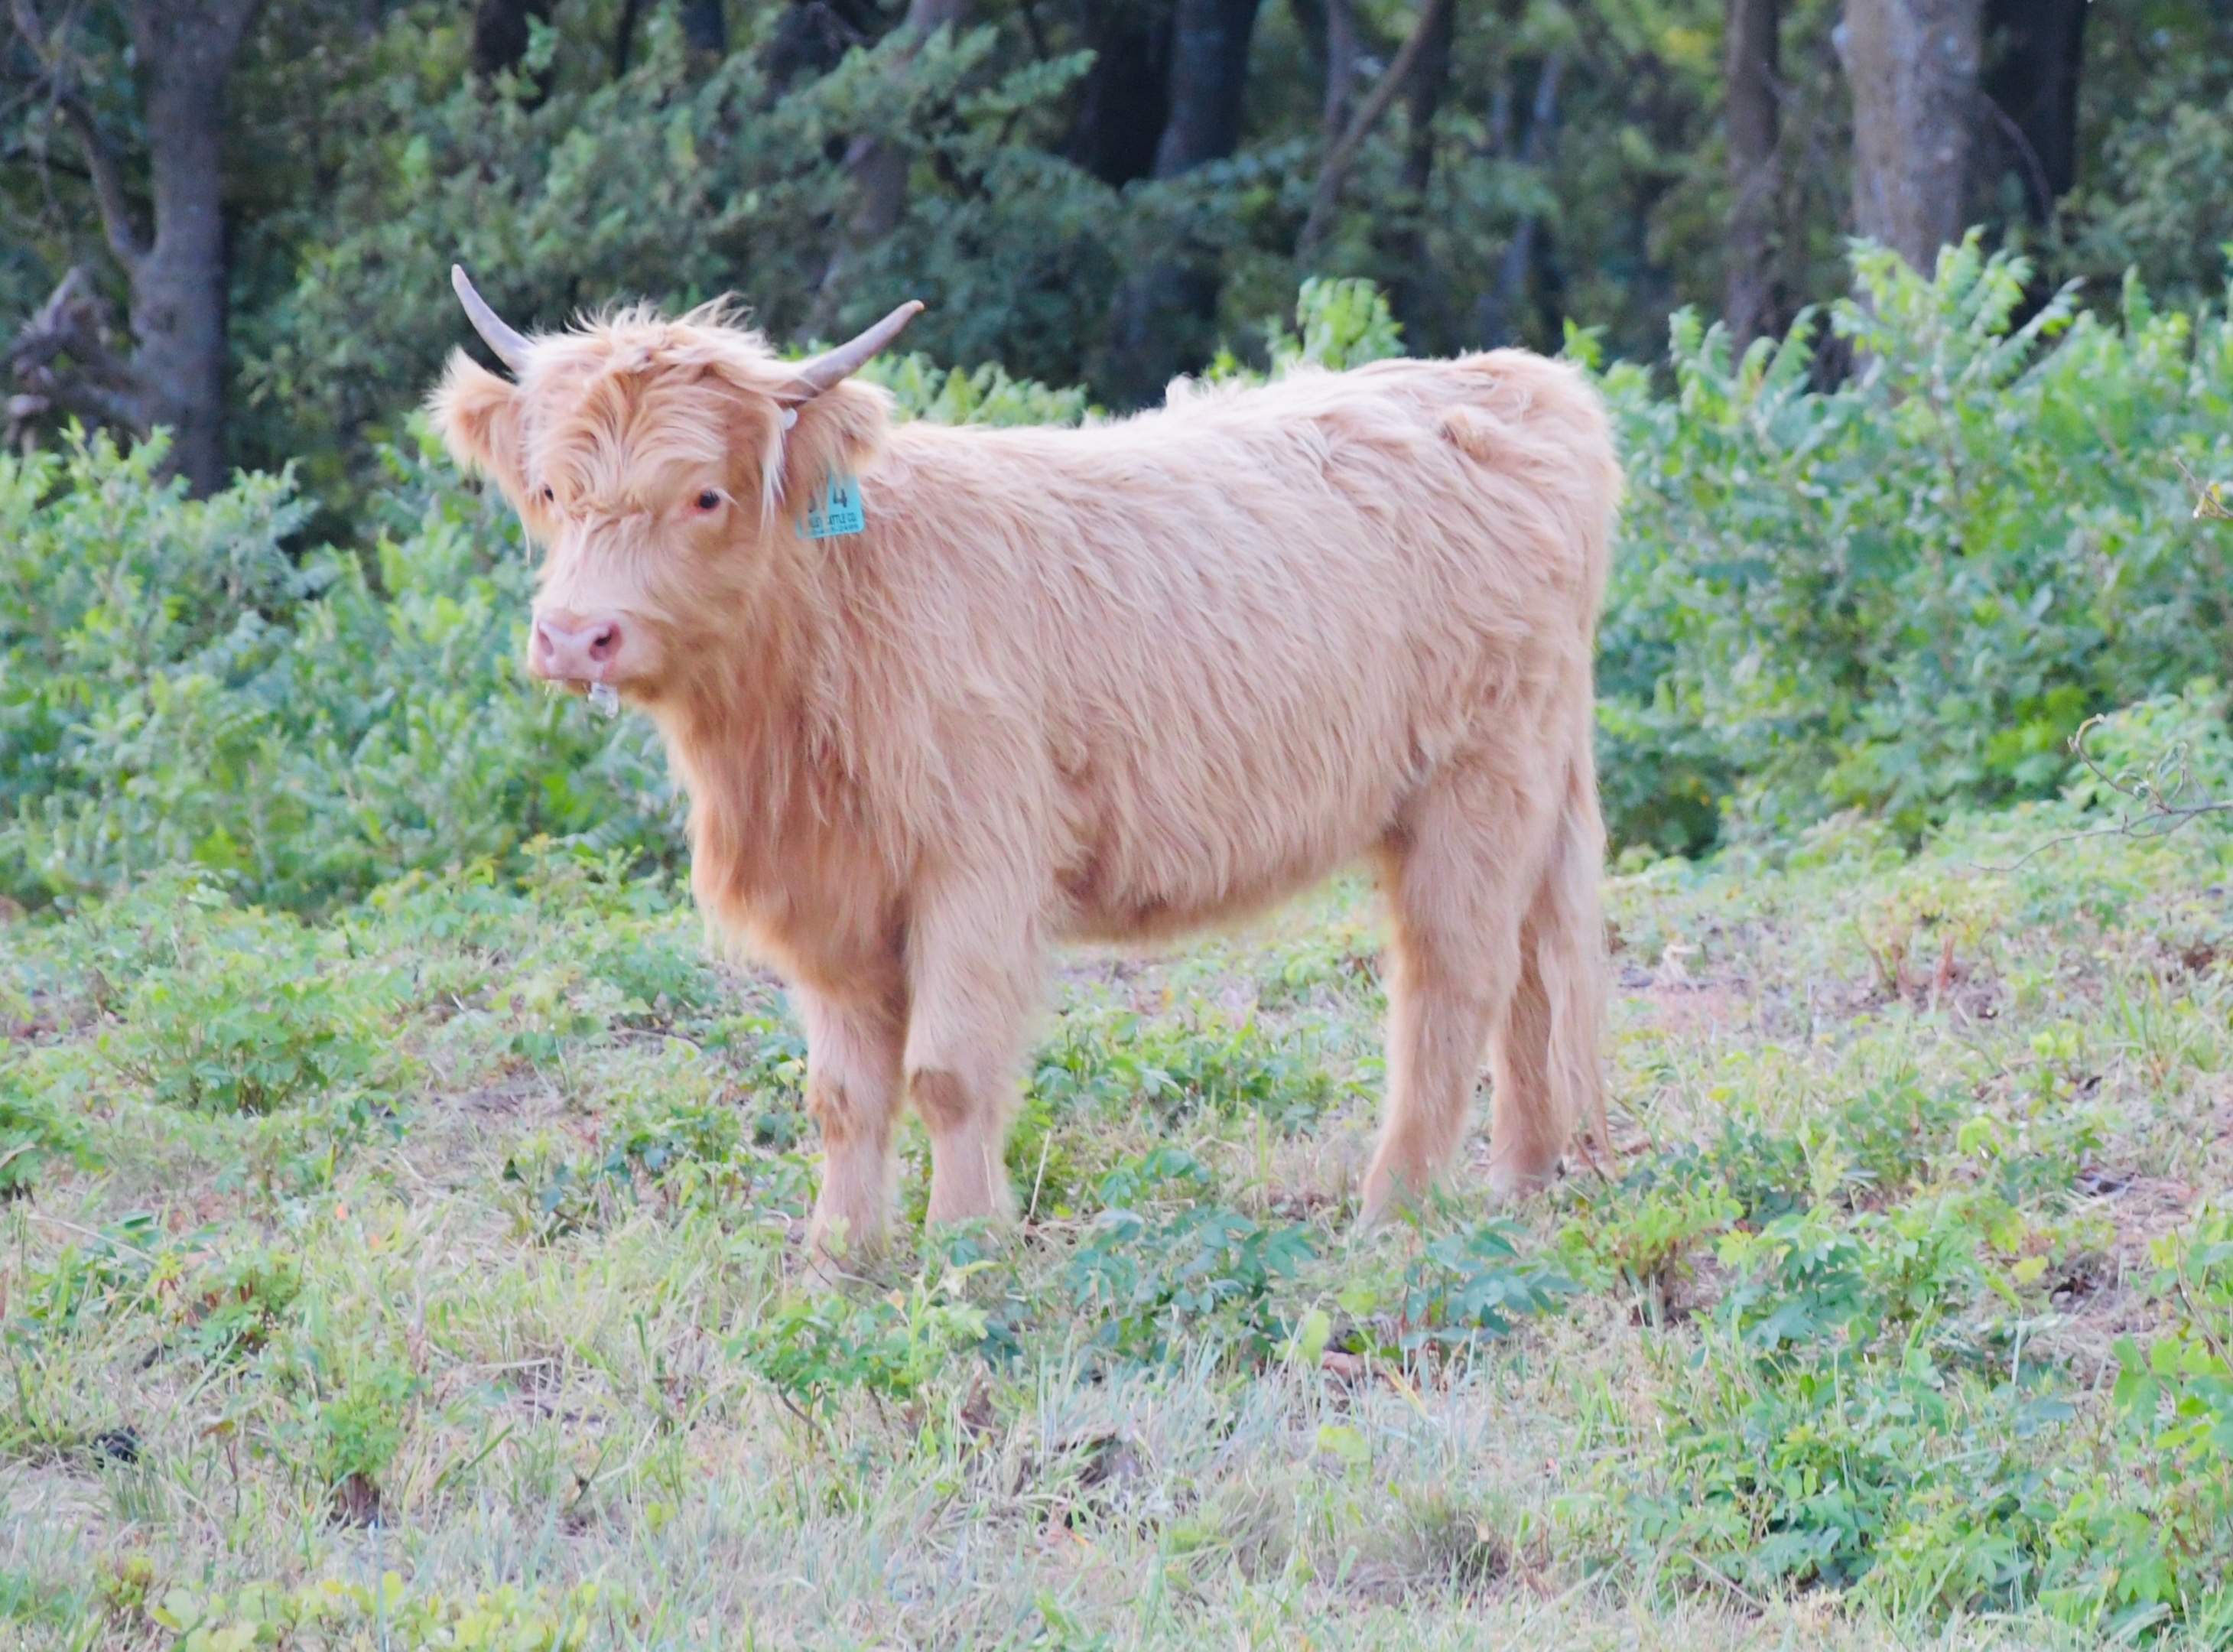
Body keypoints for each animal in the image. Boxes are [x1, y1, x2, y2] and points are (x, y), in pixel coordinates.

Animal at [429, 268, 1619, 1256]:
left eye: (706, 495)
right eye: (550, 491)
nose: (574, 636)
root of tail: (1515, 382)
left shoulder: (977, 868)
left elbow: (948, 1074)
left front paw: (965, 1247)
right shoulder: (833, 895)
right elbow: (843, 1095)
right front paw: (838, 1257)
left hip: (1479, 780)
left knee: (1452, 980)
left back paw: (1392, 1212)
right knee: (1528, 966)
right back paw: (1522, 1178)